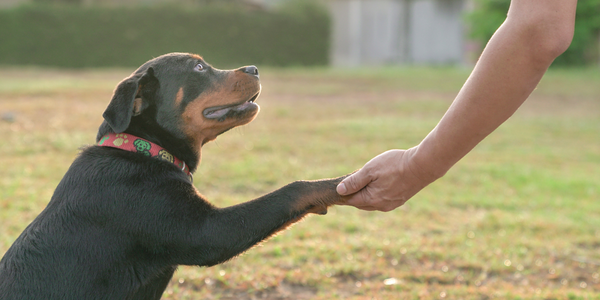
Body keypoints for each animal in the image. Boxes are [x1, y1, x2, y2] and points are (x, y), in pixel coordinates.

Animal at [0, 52, 346, 298]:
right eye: (198, 67)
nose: (254, 68)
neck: (144, 150)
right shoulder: (208, 231)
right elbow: (292, 190)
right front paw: (338, 184)